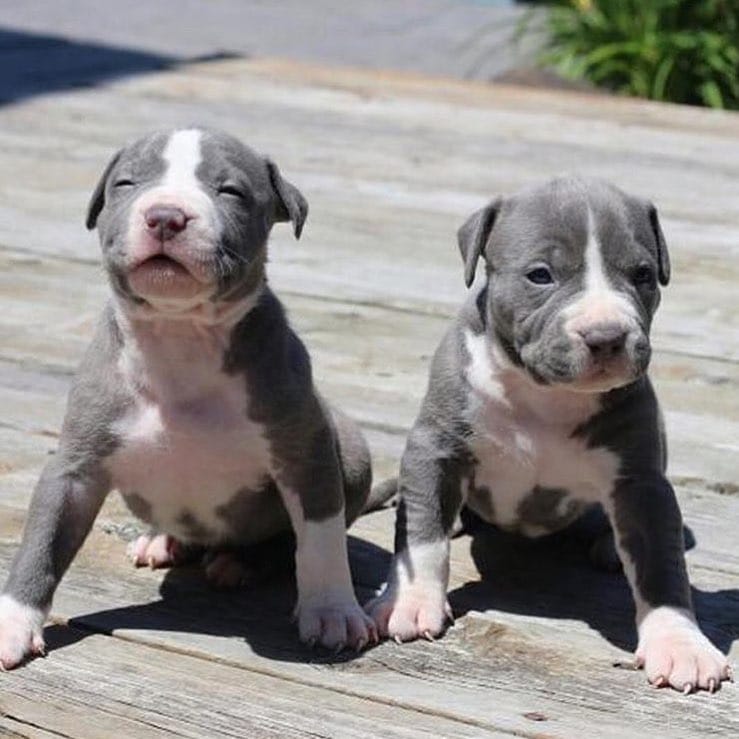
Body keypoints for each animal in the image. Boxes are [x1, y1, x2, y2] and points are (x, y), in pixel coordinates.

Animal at [0, 127, 379, 668]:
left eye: (231, 191)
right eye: (126, 183)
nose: (165, 216)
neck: (178, 337)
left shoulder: (307, 460)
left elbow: (321, 543)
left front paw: (332, 612)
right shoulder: (74, 469)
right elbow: (42, 542)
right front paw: (13, 622)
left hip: (349, 445)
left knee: (288, 541)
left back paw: (242, 562)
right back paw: (162, 540)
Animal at [366, 176, 731, 694]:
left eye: (642, 274)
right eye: (540, 275)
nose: (606, 336)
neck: (547, 395)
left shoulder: (641, 483)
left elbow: (661, 566)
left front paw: (680, 644)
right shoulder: (436, 447)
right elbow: (422, 535)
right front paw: (411, 600)